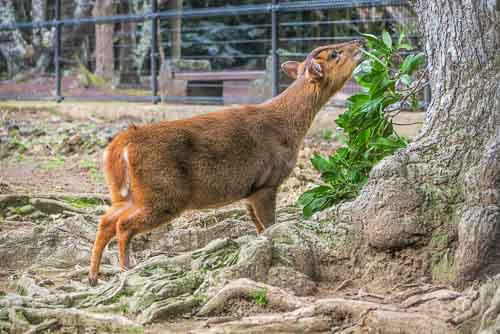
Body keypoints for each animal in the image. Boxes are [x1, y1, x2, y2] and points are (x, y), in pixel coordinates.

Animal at [89, 39, 364, 284]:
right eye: (334, 54)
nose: (359, 42)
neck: (289, 127)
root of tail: (122, 143)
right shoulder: (267, 182)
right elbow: (270, 225)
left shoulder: (251, 189)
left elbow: (259, 227)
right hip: (165, 193)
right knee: (122, 224)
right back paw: (126, 267)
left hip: (127, 192)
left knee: (106, 220)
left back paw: (93, 276)